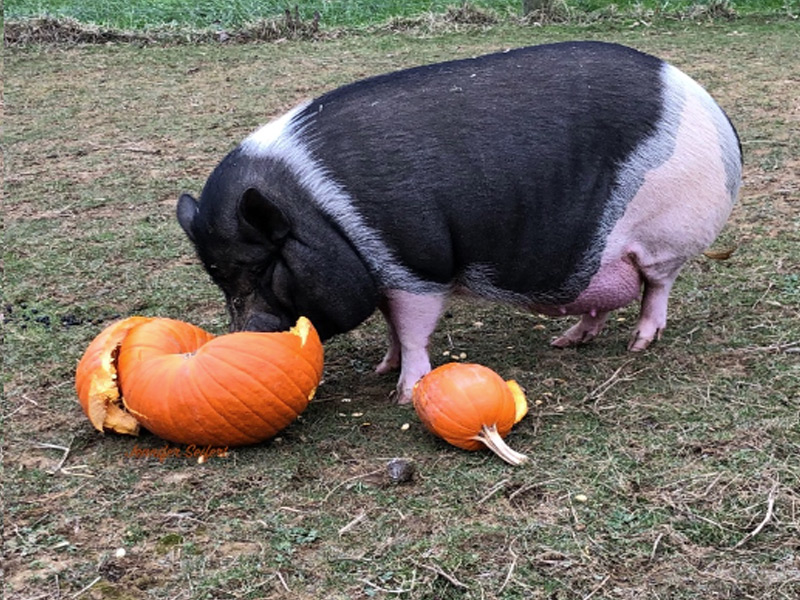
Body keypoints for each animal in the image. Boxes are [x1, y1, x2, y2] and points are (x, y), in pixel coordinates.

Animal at [178, 41, 740, 404]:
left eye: (261, 267)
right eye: (218, 277)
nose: (241, 336)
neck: (318, 212)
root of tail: (713, 108)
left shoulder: (417, 266)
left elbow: (412, 330)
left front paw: (404, 395)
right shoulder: (385, 274)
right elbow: (390, 325)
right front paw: (382, 369)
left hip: (667, 235)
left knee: (656, 286)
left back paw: (639, 343)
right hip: (599, 257)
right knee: (601, 300)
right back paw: (566, 341)